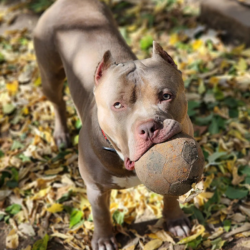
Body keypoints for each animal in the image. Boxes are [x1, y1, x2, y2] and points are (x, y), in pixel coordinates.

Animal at [33, 0, 193, 249]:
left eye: (166, 96)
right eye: (117, 105)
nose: (149, 128)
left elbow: (171, 192)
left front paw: (175, 220)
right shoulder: (95, 188)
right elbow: (100, 214)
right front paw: (103, 239)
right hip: (50, 74)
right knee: (57, 101)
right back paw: (61, 133)